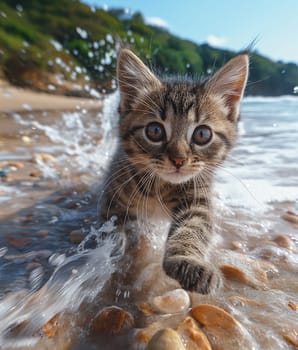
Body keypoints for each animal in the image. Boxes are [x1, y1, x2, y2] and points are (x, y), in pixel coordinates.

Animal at [100, 49, 249, 294]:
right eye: (154, 131)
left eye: (202, 134)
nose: (178, 159)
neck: (157, 186)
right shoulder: (112, 196)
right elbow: (113, 229)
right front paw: (115, 252)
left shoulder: (197, 196)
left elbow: (192, 228)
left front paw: (187, 262)